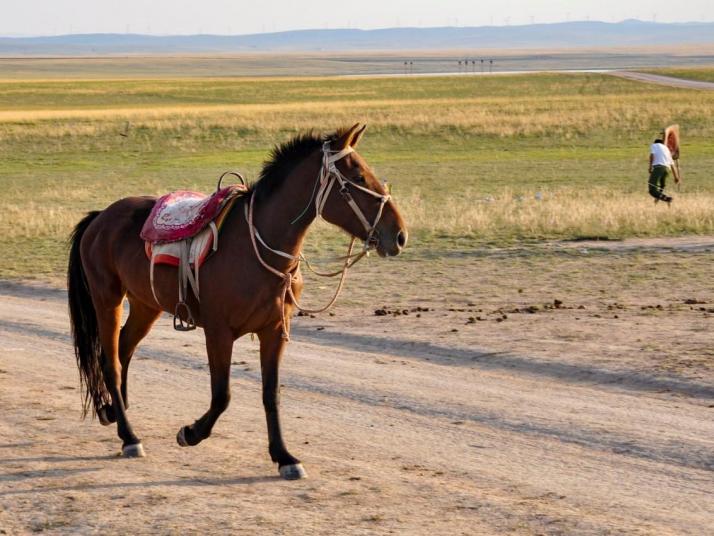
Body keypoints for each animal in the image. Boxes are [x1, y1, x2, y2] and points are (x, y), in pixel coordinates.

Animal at [69, 123, 408, 480]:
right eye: (358, 177)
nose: (399, 235)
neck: (256, 247)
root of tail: (100, 218)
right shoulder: (218, 332)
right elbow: (222, 395)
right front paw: (190, 433)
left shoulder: (274, 331)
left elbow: (270, 394)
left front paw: (284, 456)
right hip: (107, 299)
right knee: (112, 362)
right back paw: (129, 436)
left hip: (146, 306)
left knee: (123, 351)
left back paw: (112, 412)